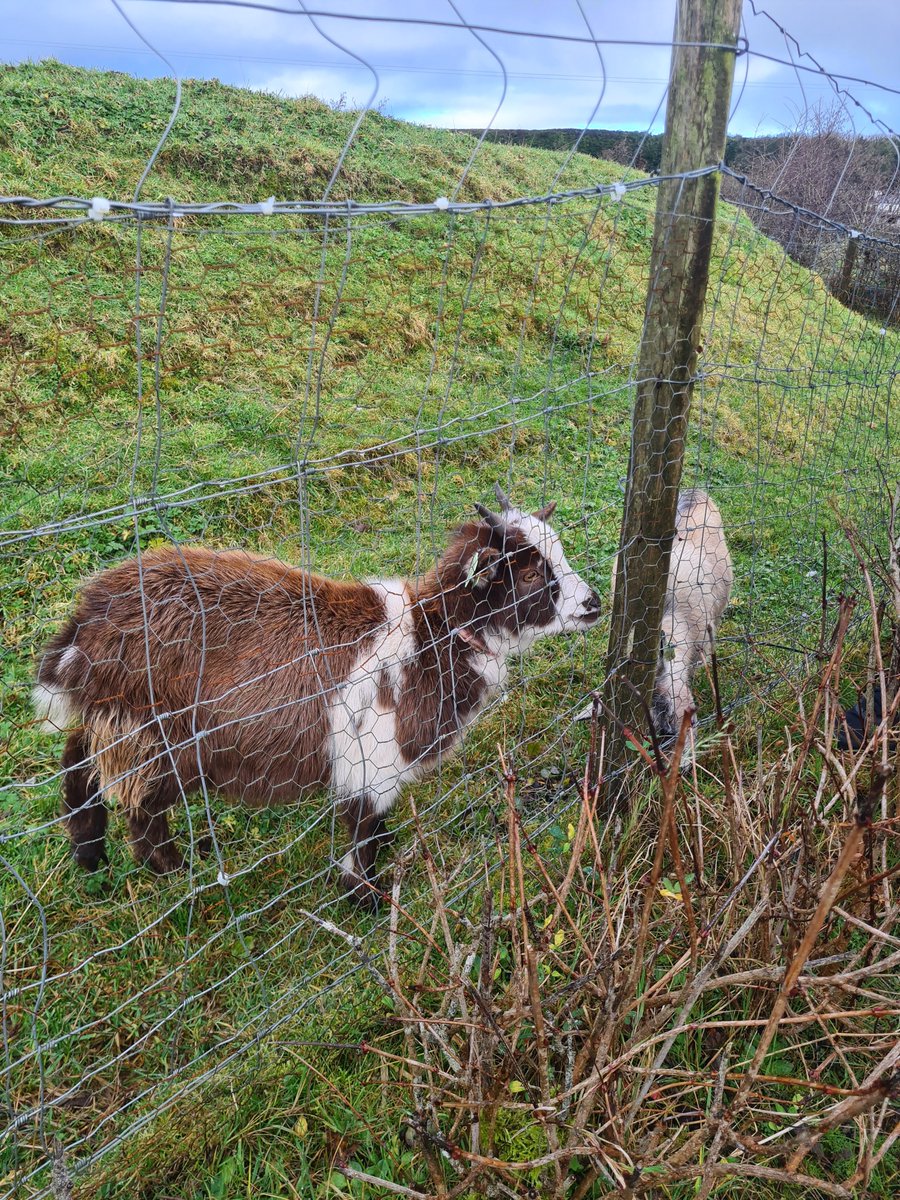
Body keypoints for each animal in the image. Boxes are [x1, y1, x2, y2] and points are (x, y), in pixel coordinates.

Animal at [34, 488, 600, 904]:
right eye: (529, 571)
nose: (594, 604)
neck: (432, 638)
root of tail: (87, 619)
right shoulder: (373, 757)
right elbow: (362, 826)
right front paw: (365, 894)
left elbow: (373, 825)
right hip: (156, 734)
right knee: (134, 798)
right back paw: (169, 868)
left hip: (122, 721)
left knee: (80, 758)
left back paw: (91, 855)